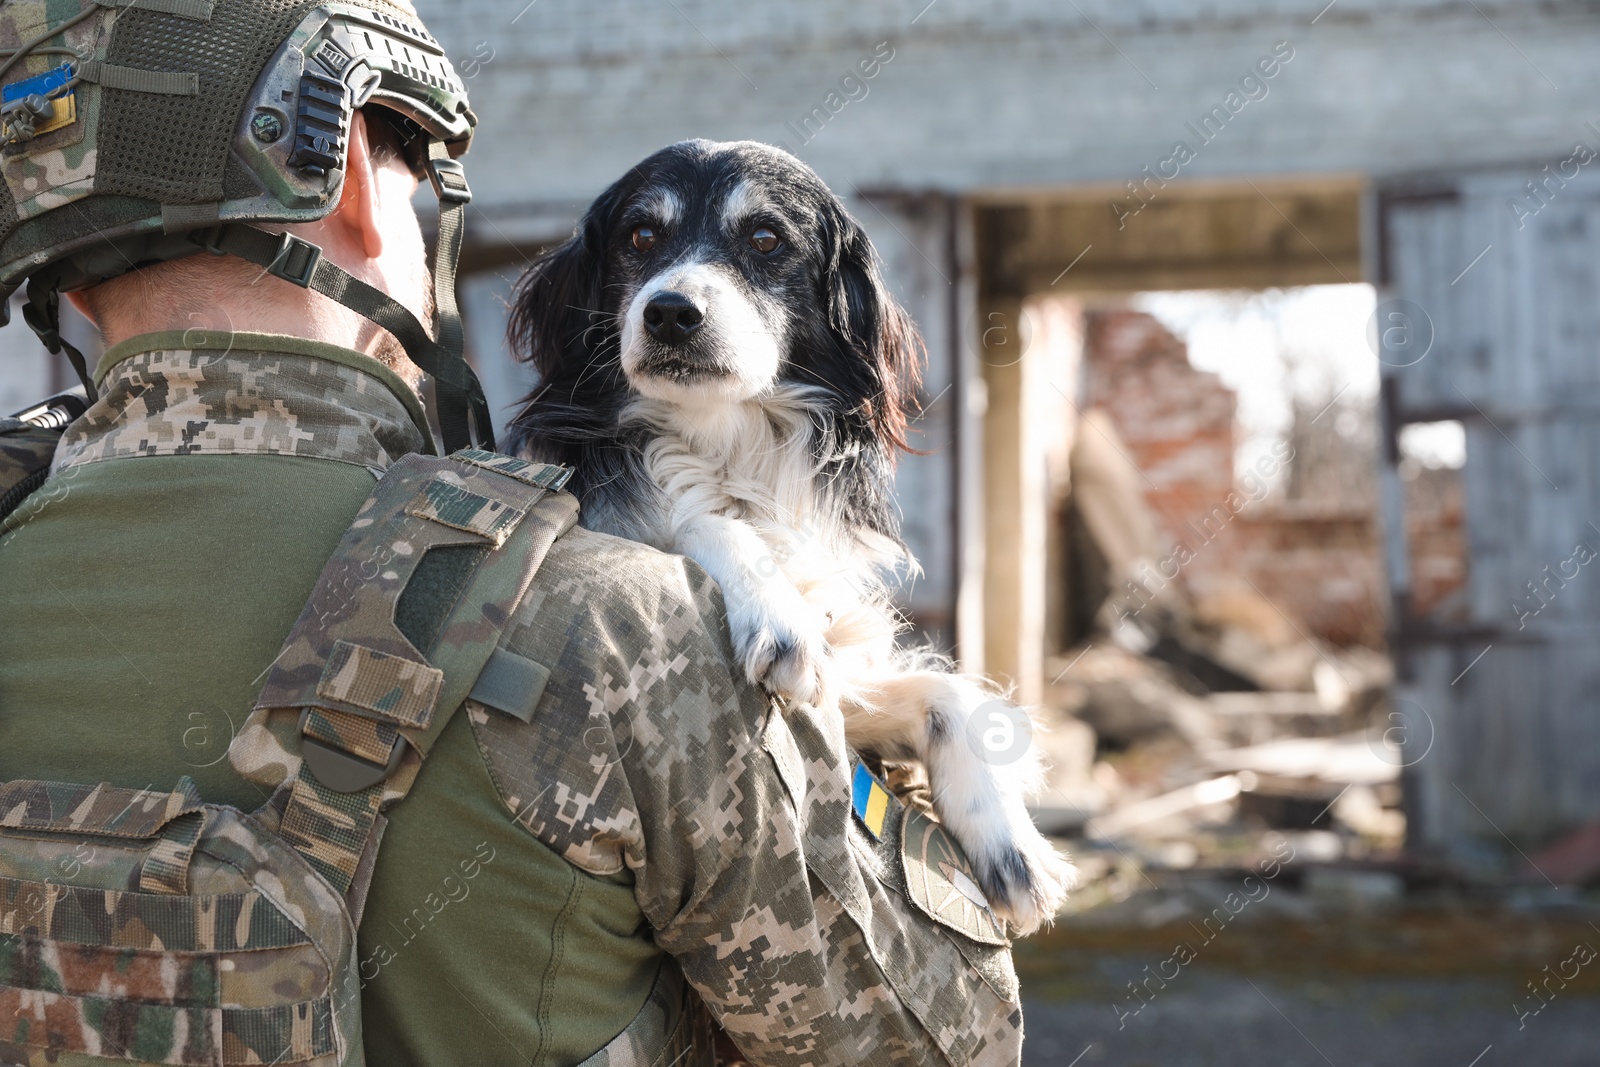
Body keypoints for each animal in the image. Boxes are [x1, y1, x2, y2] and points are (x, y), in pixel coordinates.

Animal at [505, 141, 1068, 934]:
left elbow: (950, 695)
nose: (670, 311)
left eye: (766, 239)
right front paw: (777, 614)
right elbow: (707, 523)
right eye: (639, 237)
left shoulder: (845, 692)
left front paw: (1014, 846)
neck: (729, 444)